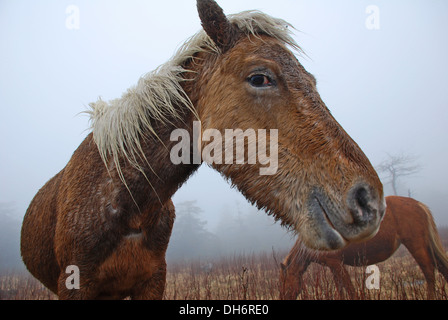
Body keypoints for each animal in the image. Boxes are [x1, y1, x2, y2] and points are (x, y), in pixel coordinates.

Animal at [280, 195, 448, 300]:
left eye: (284, 283)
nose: (283, 297)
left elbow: (349, 289)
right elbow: (341, 289)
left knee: (429, 272)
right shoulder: (333, 266)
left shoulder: (337, 264)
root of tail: (417, 204)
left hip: (416, 245)